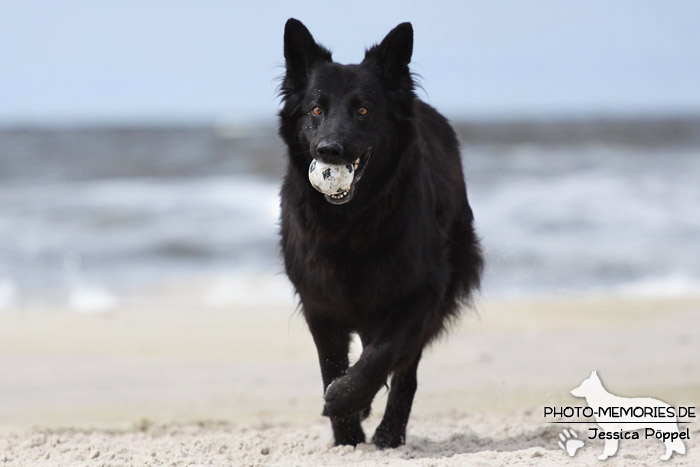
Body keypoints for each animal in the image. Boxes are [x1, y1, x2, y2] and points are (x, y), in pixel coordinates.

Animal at [276, 19, 484, 450]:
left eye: (363, 110)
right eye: (316, 109)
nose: (330, 150)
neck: (351, 221)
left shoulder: (421, 294)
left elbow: (382, 354)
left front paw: (345, 399)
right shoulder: (319, 303)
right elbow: (331, 363)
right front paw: (347, 435)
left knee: (404, 371)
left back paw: (390, 433)